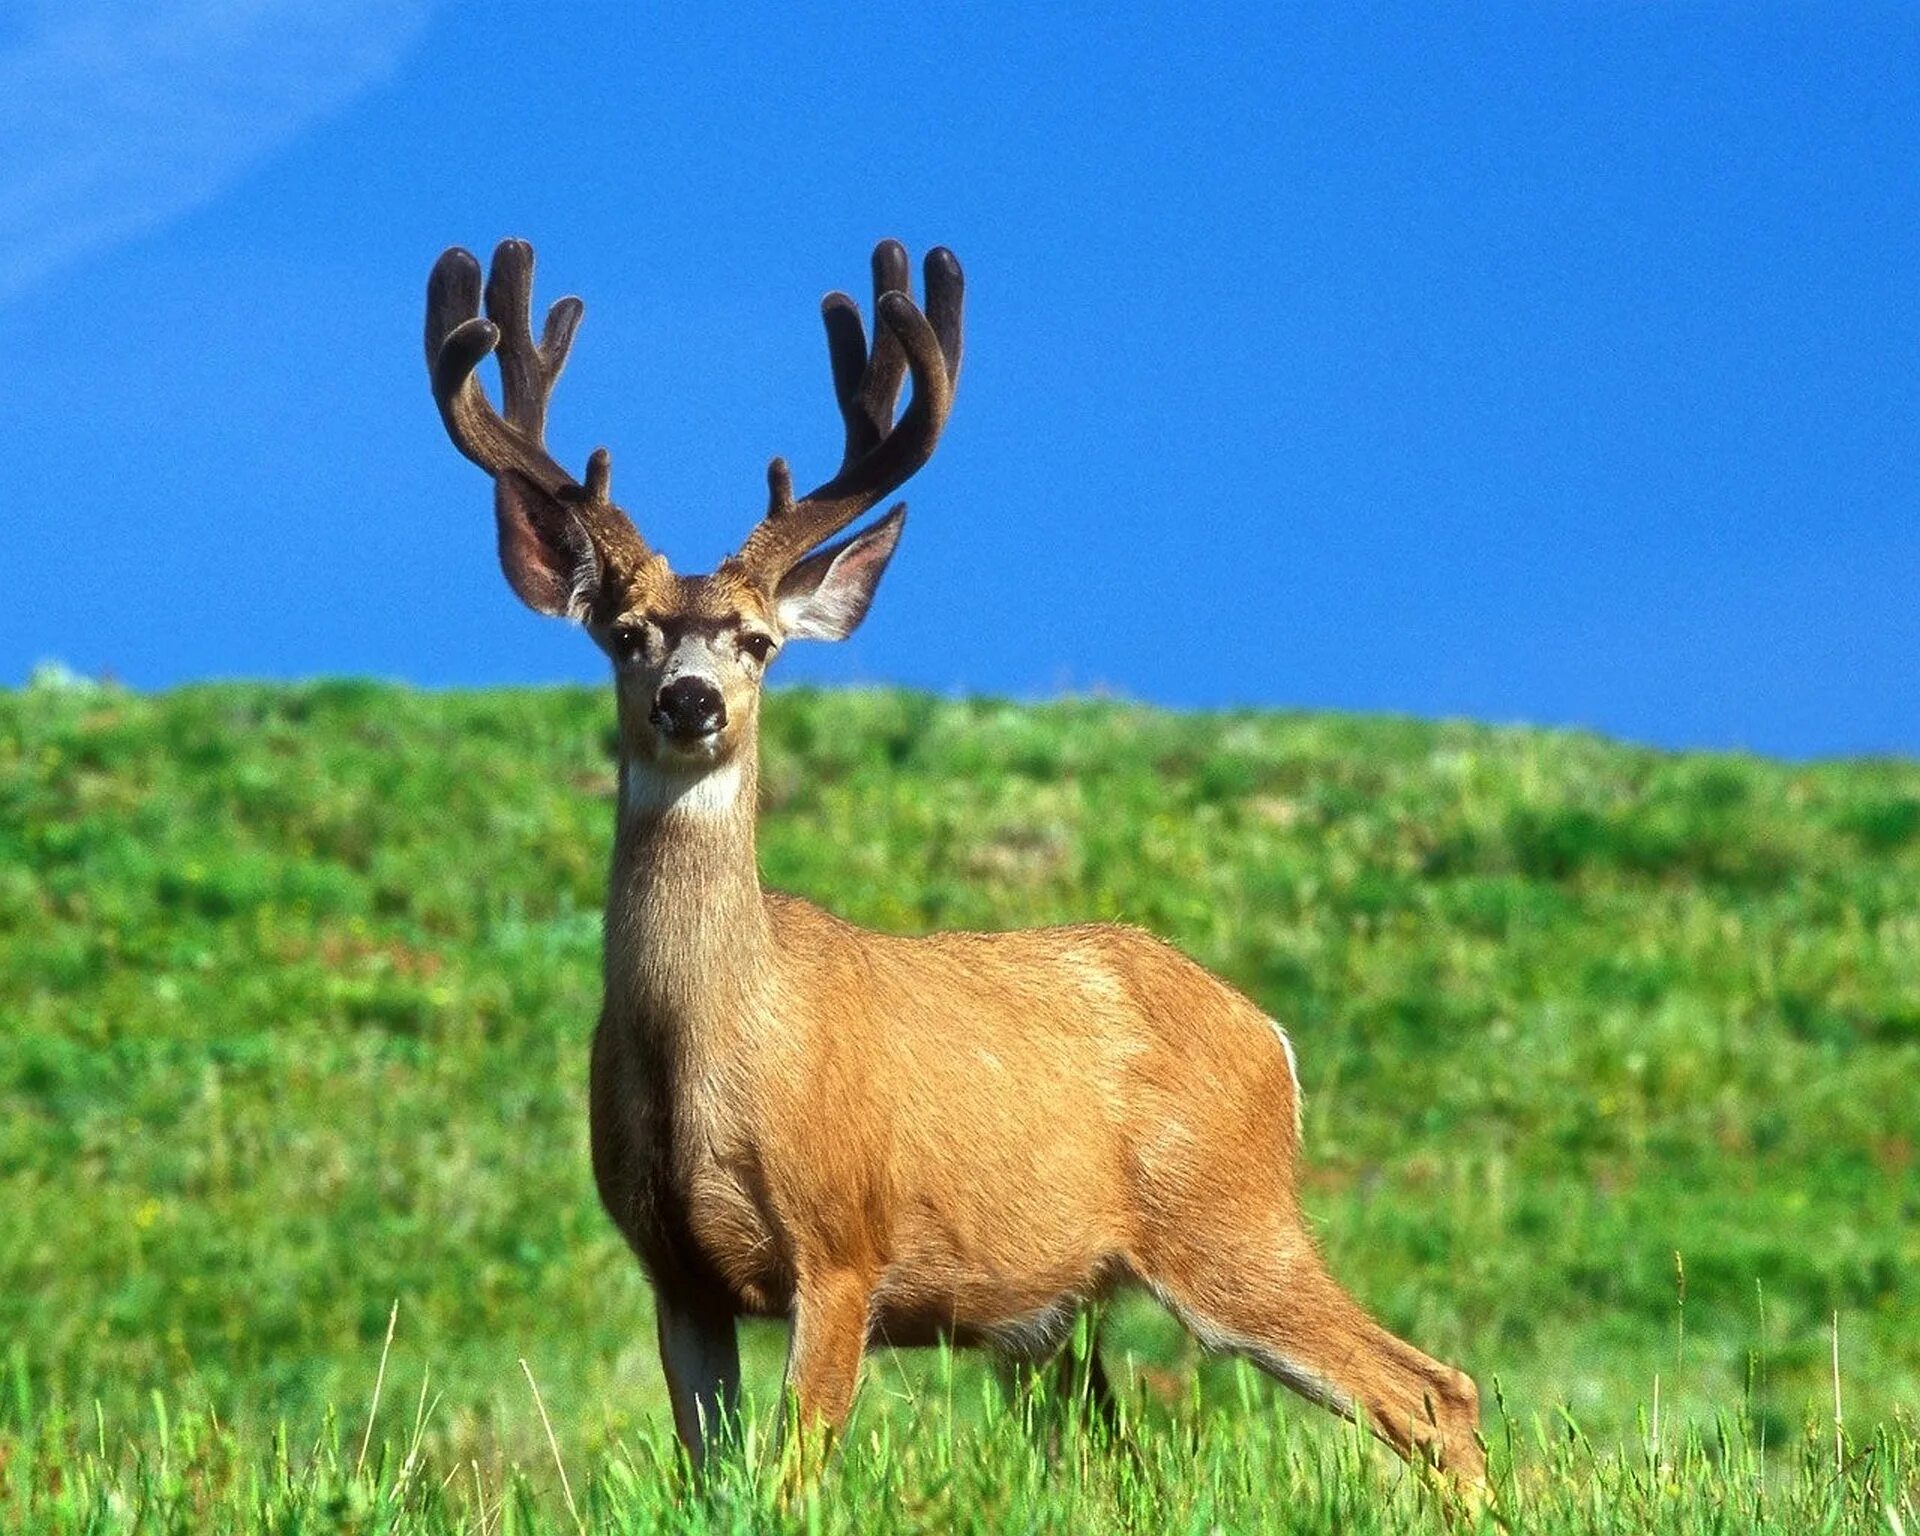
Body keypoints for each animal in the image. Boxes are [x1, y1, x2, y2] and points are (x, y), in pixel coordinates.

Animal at [428, 234, 1489, 1482]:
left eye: (759, 642)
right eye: (625, 634)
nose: (691, 702)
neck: (711, 1048)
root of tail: (1267, 1037)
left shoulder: (843, 1243)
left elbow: (793, 1477)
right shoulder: (673, 1270)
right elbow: (712, 1476)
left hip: (1229, 1221)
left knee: (1434, 1390)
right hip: (1057, 1318)